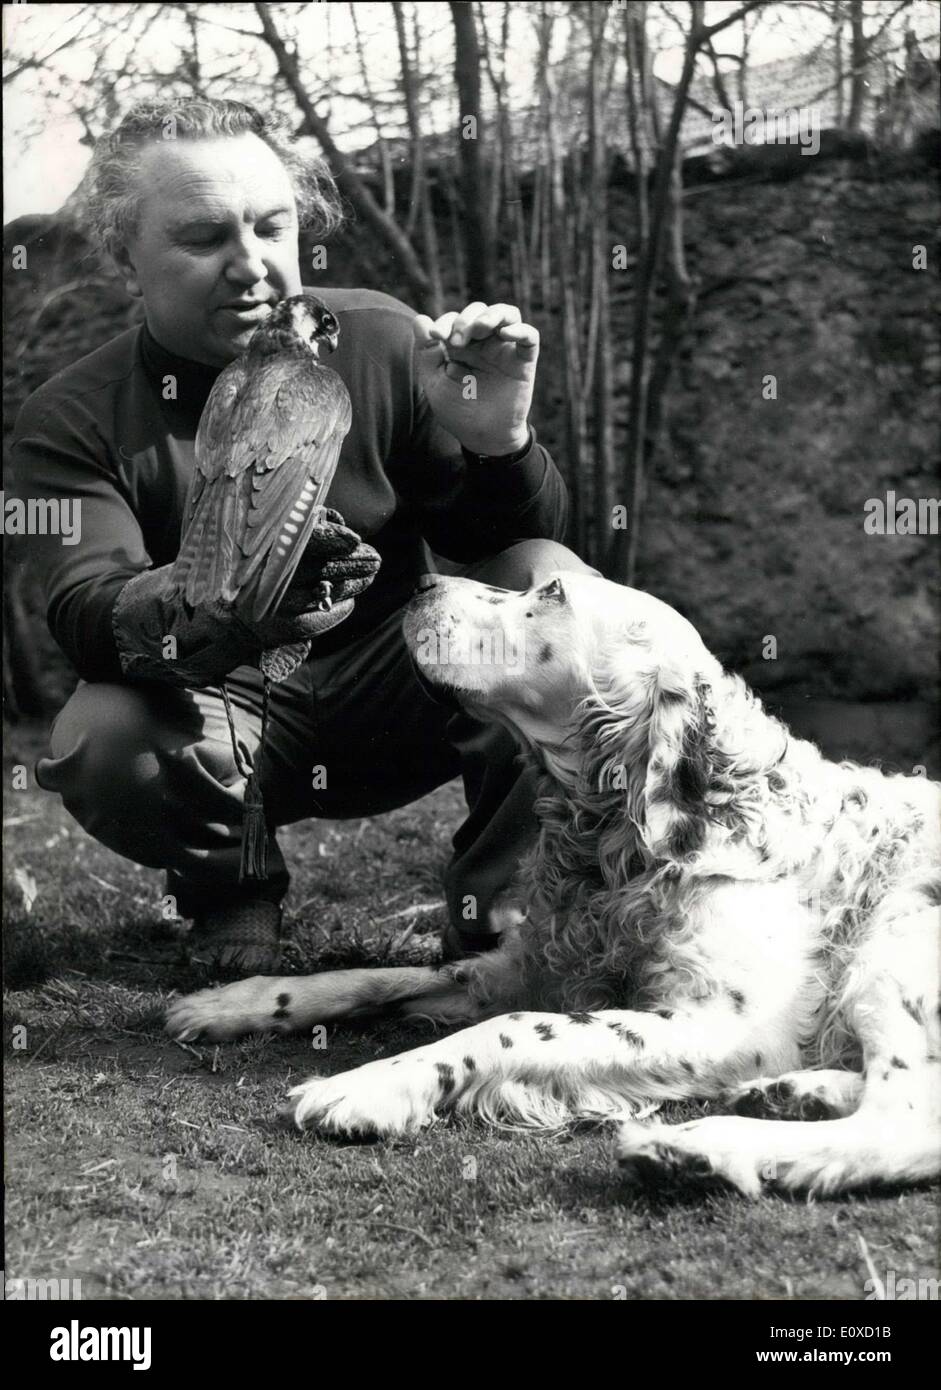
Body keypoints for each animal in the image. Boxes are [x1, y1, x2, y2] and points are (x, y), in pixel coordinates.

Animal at [168, 569, 939, 1200]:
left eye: (553, 593)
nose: (419, 582)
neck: (623, 844)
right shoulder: (530, 966)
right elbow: (374, 977)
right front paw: (232, 1001)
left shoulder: (721, 1022)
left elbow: (507, 1031)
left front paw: (368, 1084)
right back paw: (793, 1093)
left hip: (892, 947)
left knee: (903, 1121)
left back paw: (701, 1150)